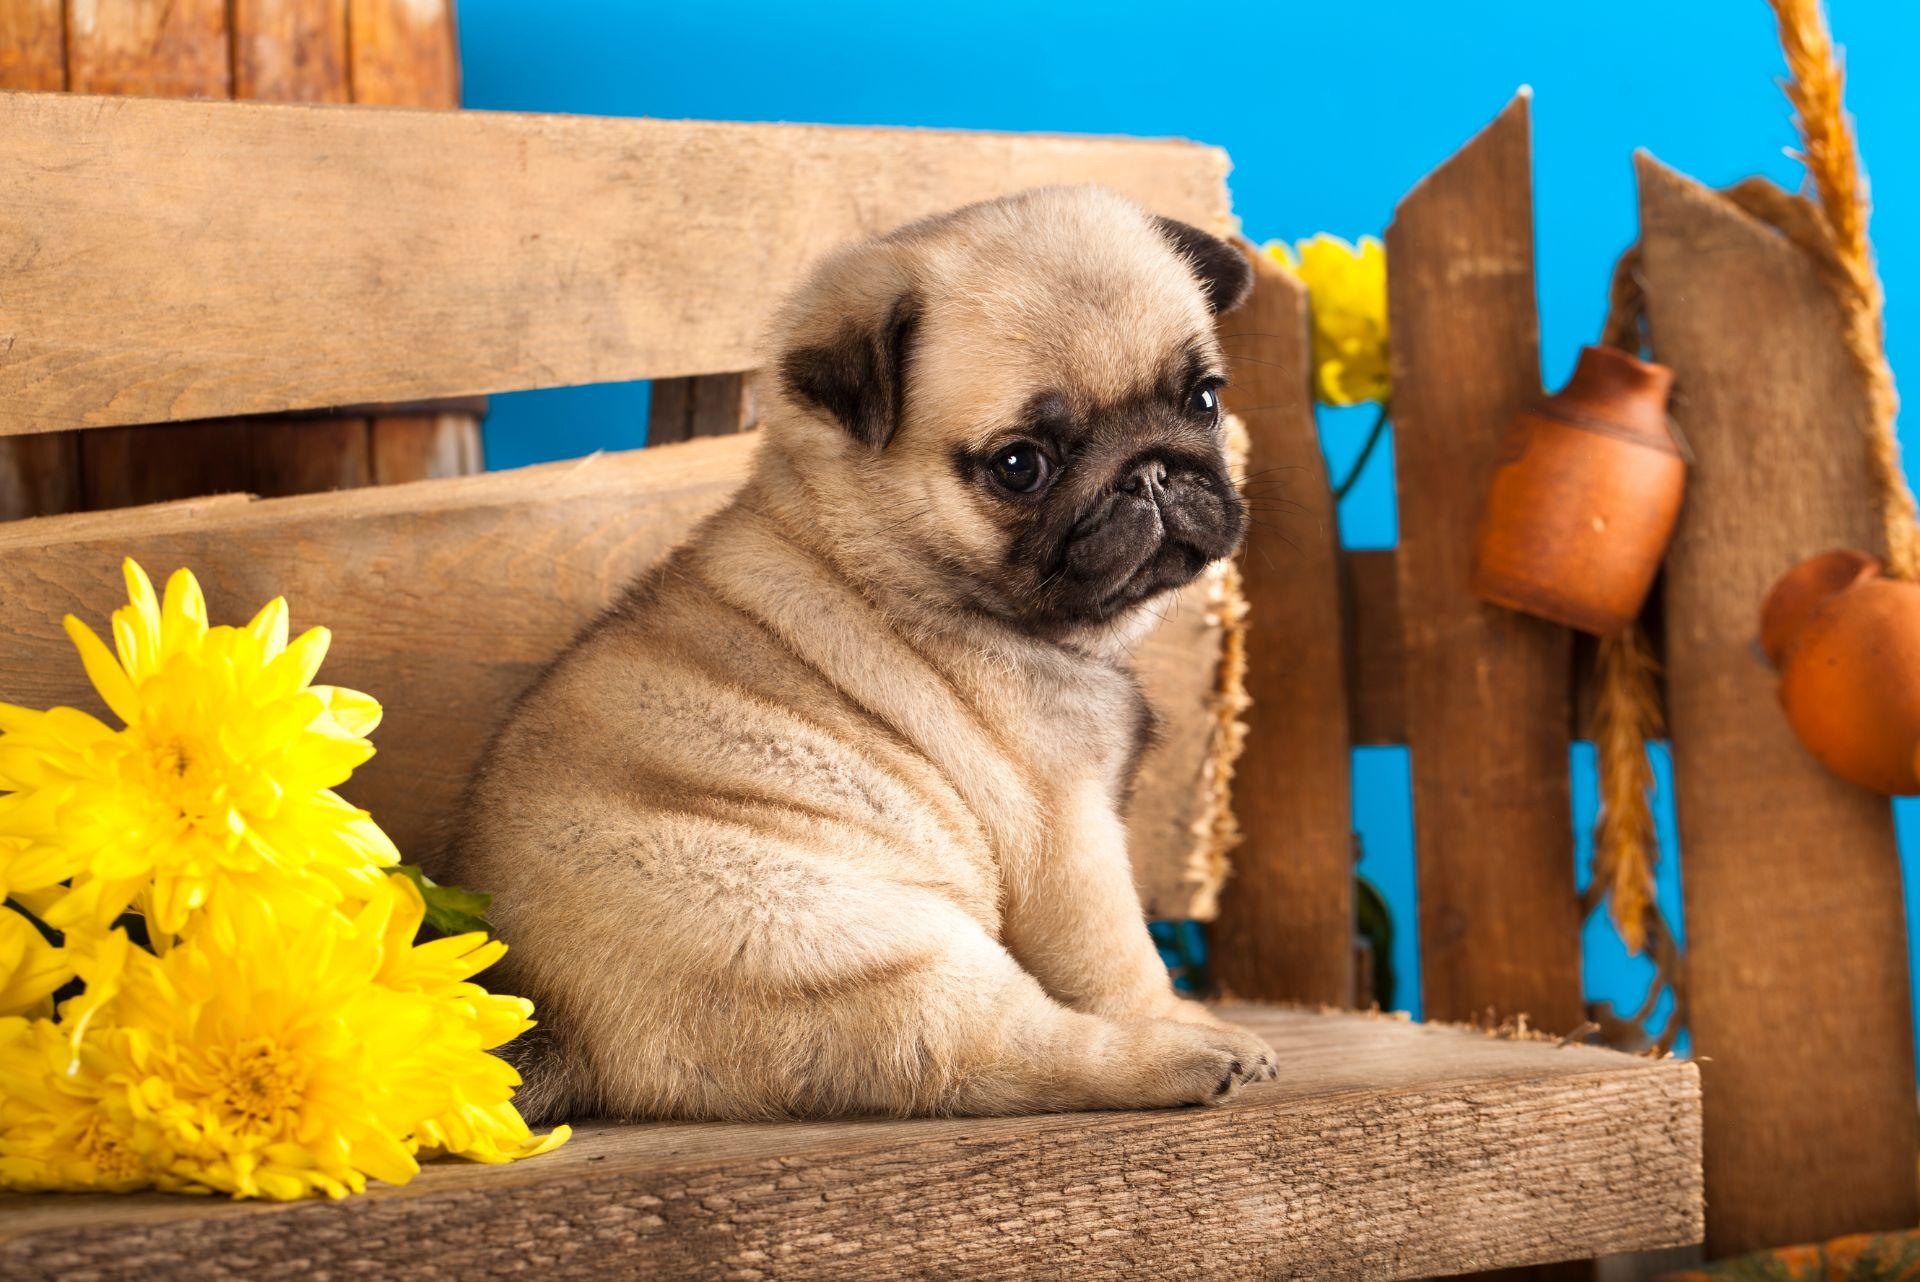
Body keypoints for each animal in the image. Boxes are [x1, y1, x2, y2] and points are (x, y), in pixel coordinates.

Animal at [447, 182, 1274, 1120]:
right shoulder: (1070, 837)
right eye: (1020, 465)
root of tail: (564, 1025)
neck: (887, 554)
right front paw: (1174, 1014)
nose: (1151, 471)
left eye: (1204, 400)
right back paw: (1187, 1054)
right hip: (869, 941)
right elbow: (1120, 962)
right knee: (1009, 1053)